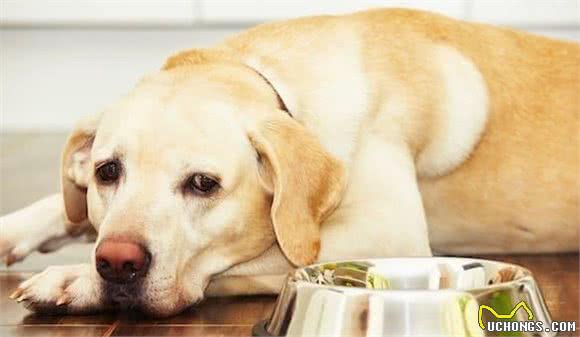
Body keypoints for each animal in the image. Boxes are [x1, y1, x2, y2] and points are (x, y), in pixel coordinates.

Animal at [0, 8, 576, 316]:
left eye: (203, 183)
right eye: (106, 172)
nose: (115, 262)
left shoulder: (390, 234)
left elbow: (251, 259)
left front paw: (72, 279)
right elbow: (64, 208)